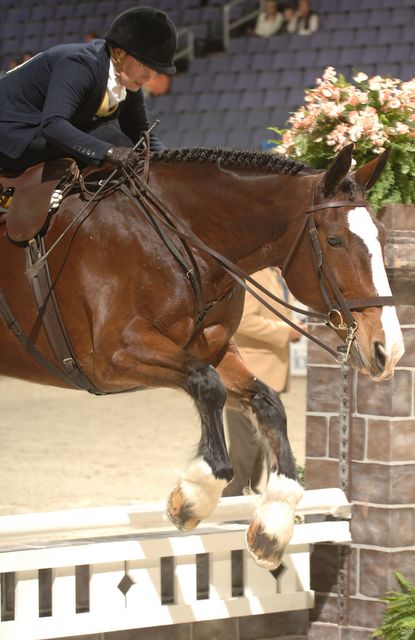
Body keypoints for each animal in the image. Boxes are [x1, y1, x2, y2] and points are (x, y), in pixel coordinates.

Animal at [0, 142, 404, 568]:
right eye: (335, 240)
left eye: (381, 236)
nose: (389, 349)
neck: (181, 240)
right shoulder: (114, 355)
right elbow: (207, 385)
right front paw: (193, 495)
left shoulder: (213, 347)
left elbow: (266, 401)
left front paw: (273, 524)